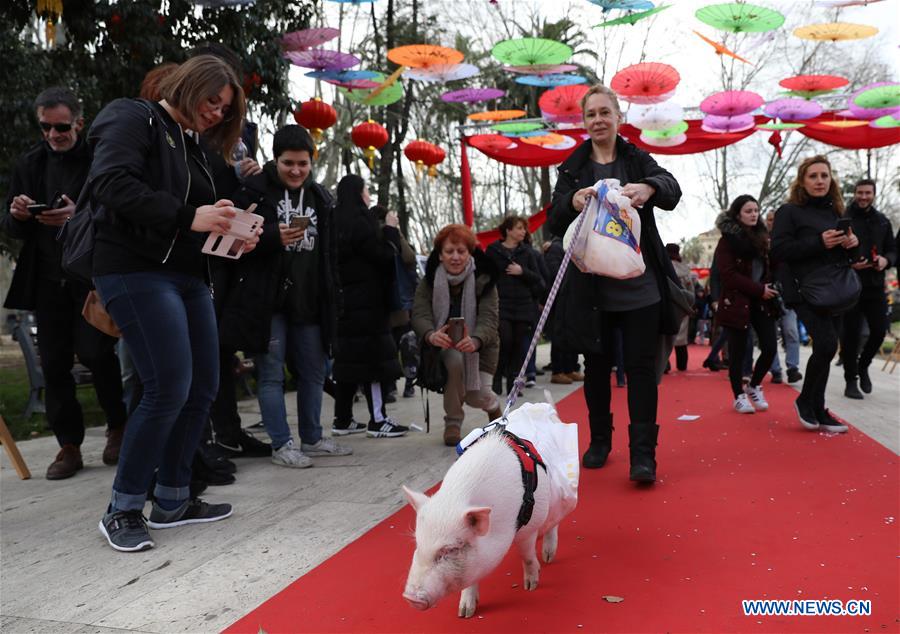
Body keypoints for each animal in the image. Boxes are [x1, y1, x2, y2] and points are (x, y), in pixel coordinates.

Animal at [400, 430, 564, 616]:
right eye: (418, 544)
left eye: (451, 549)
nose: (409, 598)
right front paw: (465, 613)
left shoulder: (528, 527)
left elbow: (527, 555)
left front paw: (530, 587)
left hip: (549, 499)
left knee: (554, 519)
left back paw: (548, 557)